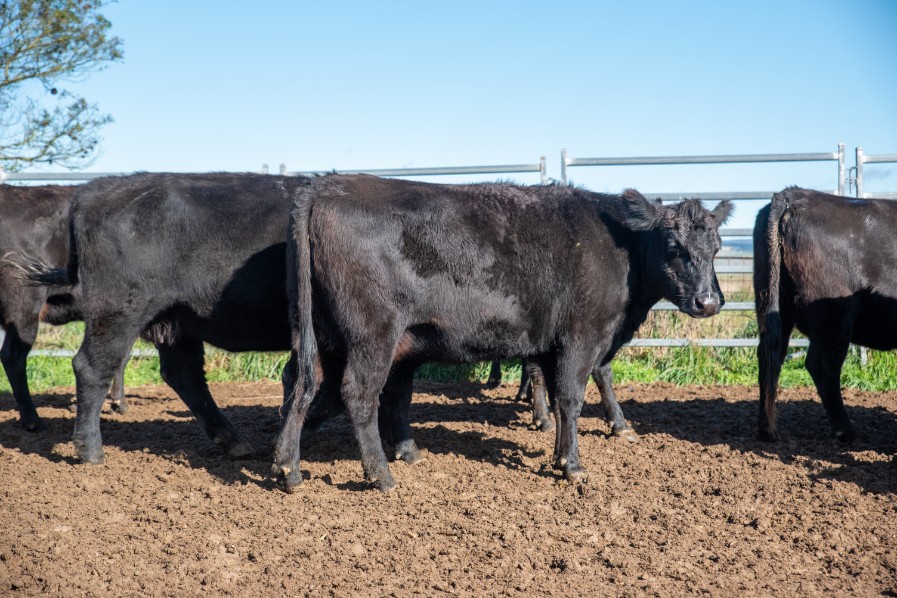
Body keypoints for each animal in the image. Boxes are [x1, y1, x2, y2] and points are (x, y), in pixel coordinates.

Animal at [26, 173, 309, 464]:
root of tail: (98, 188)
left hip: (173, 323)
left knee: (183, 374)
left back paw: (235, 443)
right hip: (118, 313)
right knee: (91, 367)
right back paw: (91, 452)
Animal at [273, 174, 731, 492]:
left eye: (717, 248)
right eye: (674, 248)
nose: (709, 302)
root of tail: (326, 186)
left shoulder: (551, 345)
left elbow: (557, 399)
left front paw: (558, 454)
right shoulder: (582, 338)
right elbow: (571, 398)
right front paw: (573, 466)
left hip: (322, 337)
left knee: (303, 385)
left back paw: (287, 468)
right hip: (372, 334)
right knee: (358, 393)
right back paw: (381, 476)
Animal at [754, 186, 897, 442]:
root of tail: (790, 195)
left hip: (773, 304)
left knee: (769, 356)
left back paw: (766, 429)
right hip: (835, 318)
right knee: (822, 365)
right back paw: (846, 431)